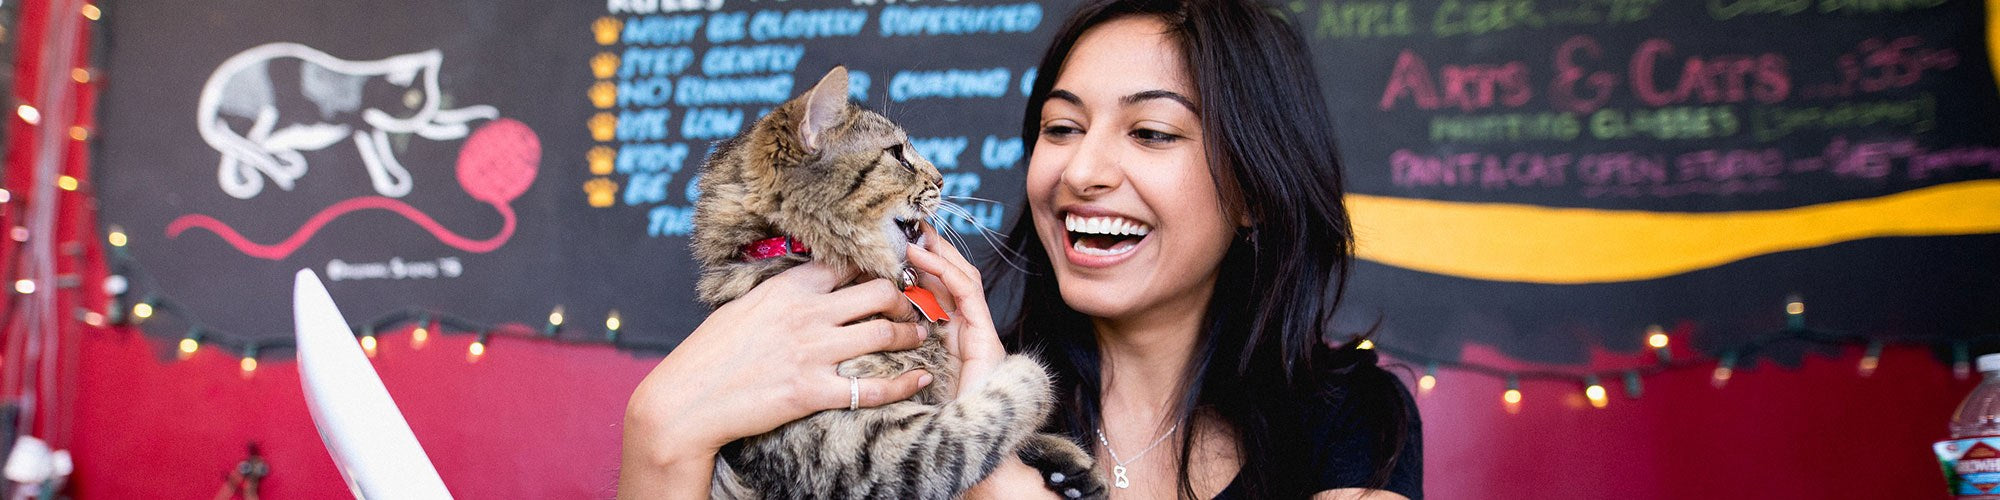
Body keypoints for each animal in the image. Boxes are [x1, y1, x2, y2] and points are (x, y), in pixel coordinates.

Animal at [692, 67, 1112, 500]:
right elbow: (976, 421)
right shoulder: (866, 454)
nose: (942, 180)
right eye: (897, 155)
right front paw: (1029, 372)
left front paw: (1072, 465)